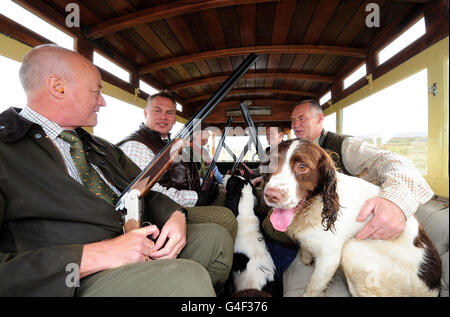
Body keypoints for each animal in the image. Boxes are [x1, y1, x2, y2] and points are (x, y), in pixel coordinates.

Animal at [262, 138, 442, 296]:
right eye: (271, 164)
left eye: (302, 167)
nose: (270, 195)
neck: (315, 205)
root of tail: (435, 288)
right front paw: (305, 254)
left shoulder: (330, 258)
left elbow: (313, 287)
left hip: (353, 251)